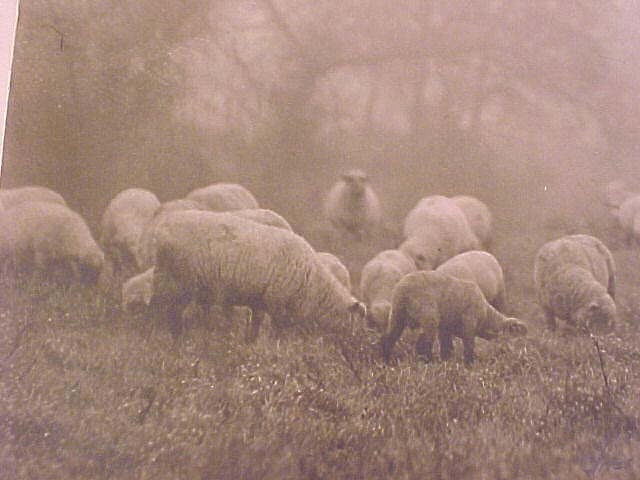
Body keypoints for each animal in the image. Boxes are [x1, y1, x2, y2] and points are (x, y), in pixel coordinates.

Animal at [146, 209, 364, 338]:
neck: (315, 284)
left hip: (166, 276)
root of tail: (162, 229)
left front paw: (250, 343)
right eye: (353, 325)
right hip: (180, 280)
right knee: (165, 310)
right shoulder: (277, 301)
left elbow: (256, 325)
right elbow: (277, 331)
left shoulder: (260, 300)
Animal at [382, 270, 528, 364]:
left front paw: (446, 362)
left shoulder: (445, 329)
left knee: (388, 338)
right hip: (428, 314)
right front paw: (469, 365)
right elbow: (469, 346)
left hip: (397, 315)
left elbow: (447, 347)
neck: (487, 316)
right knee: (424, 343)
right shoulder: (469, 322)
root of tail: (403, 290)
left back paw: (384, 360)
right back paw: (428, 362)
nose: (520, 359)